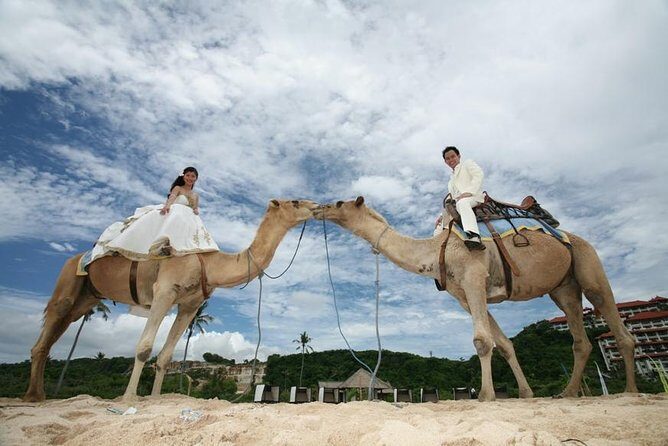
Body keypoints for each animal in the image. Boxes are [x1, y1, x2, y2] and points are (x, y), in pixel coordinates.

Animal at [23, 199, 317, 402]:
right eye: (294, 201)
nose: (316, 205)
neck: (208, 263)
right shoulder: (164, 291)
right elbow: (144, 347)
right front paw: (129, 398)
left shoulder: (190, 305)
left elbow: (165, 356)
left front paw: (154, 399)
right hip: (67, 282)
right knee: (49, 329)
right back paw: (32, 396)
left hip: (87, 298)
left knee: (55, 335)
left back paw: (38, 395)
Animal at [315, 196, 637, 401]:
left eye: (339, 204)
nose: (317, 208)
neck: (438, 250)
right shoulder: (465, 296)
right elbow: (504, 344)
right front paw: (526, 393)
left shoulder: (473, 278)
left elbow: (482, 341)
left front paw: (485, 395)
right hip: (563, 288)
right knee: (580, 339)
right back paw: (567, 393)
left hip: (588, 262)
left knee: (614, 320)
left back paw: (631, 391)